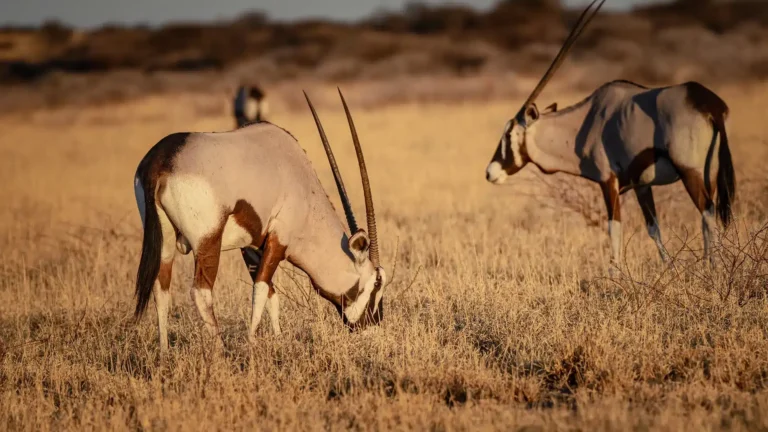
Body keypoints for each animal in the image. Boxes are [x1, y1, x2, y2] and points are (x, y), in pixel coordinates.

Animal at [133, 89, 387, 352]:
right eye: (377, 283)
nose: (373, 329)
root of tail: (162, 160)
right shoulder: (278, 240)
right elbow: (261, 289)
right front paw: (252, 343)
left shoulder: (253, 246)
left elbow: (271, 294)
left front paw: (278, 338)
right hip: (208, 241)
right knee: (201, 292)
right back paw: (221, 351)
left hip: (165, 239)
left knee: (160, 288)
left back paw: (164, 352)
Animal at [484, 0, 735, 268]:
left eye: (508, 135)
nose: (490, 172)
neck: (586, 122)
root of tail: (709, 103)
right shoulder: (641, 185)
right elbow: (653, 228)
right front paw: (670, 268)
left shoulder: (608, 181)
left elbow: (614, 229)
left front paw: (616, 273)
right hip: (709, 173)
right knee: (710, 214)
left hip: (690, 171)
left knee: (707, 212)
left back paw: (712, 267)